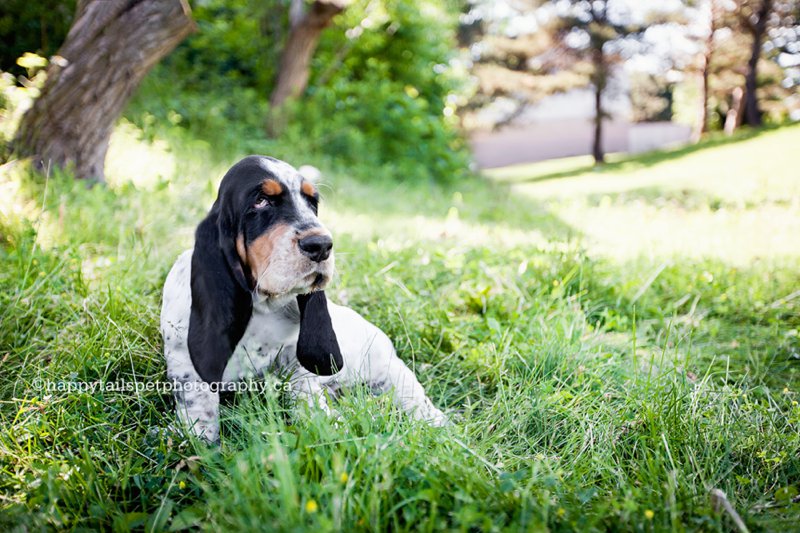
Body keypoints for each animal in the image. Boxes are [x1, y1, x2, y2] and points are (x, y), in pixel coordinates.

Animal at [156, 155, 444, 440]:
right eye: (261, 201)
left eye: (312, 203)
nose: (321, 245)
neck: (262, 305)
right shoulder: (184, 360)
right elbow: (198, 404)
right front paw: (199, 439)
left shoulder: (296, 365)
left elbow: (307, 400)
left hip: (385, 365)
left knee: (411, 393)